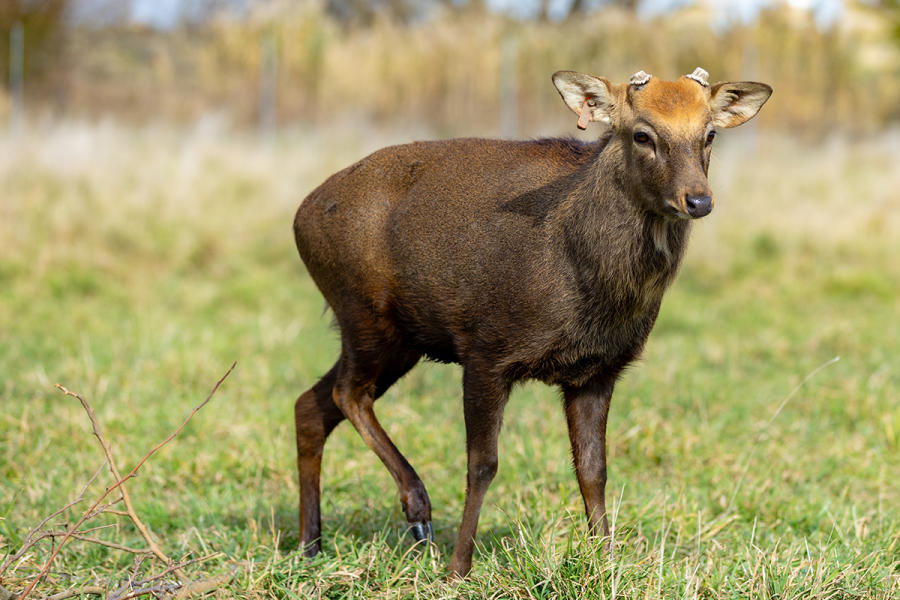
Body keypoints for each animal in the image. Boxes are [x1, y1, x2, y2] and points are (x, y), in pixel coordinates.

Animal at [291, 67, 772, 577]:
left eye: (709, 134)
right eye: (642, 134)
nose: (698, 199)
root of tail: (301, 215)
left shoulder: (599, 369)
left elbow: (593, 469)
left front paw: (605, 563)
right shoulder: (486, 349)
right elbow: (482, 464)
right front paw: (458, 569)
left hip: (399, 339)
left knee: (311, 404)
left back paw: (310, 544)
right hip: (363, 313)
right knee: (347, 394)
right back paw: (416, 510)